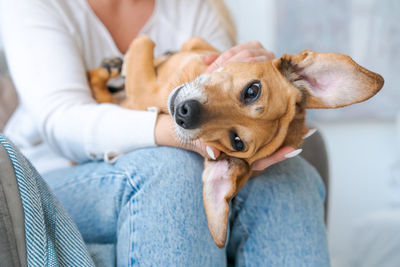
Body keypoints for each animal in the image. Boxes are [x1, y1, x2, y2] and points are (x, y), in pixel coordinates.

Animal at [88, 35, 384, 249]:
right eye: (252, 91)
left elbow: (144, 42)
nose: (185, 113)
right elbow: (178, 45)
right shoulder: (196, 47)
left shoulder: (143, 88)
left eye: (237, 142)